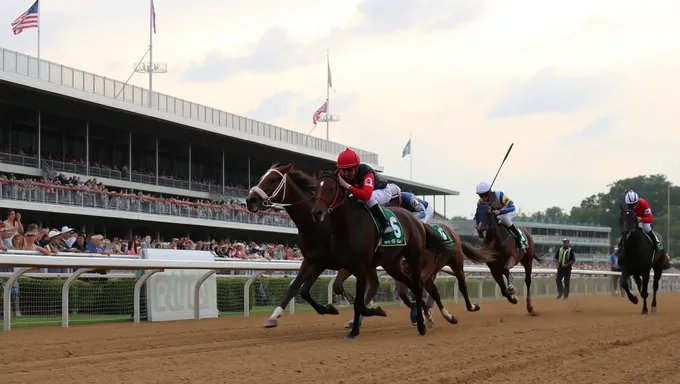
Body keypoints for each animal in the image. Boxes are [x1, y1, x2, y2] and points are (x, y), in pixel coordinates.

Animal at [246, 163, 386, 328]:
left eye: (273, 179)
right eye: (262, 177)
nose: (250, 200)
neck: (317, 227)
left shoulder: (330, 262)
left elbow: (331, 286)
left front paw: (343, 302)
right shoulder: (311, 260)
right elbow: (298, 288)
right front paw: (274, 316)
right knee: (374, 285)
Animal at [314, 172, 456, 338]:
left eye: (331, 189)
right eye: (316, 188)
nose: (317, 212)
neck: (349, 224)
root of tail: (417, 221)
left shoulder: (362, 266)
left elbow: (361, 300)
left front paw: (355, 328)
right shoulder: (350, 263)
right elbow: (343, 289)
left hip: (416, 258)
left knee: (420, 286)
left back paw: (427, 322)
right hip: (392, 264)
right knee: (410, 286)